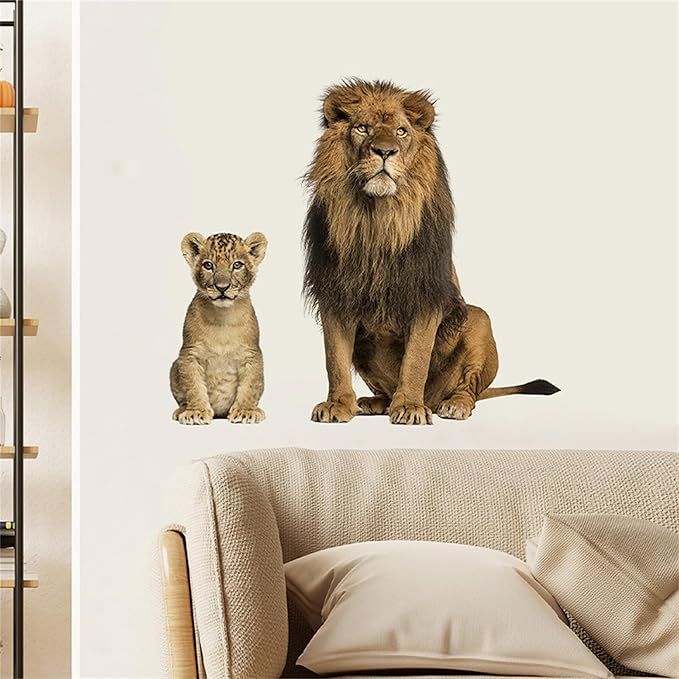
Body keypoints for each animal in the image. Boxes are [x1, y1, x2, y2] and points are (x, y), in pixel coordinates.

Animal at [170, 231, 267, 425]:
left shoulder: (252, 355)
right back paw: (182, 410)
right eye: (208, 265)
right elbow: (193, 387)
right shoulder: (189, 354)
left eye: (237, 265)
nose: (222, 287)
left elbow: (250, 386)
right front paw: (196, 411)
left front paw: (245, 411)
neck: (222, 318)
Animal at [303, 79, 558, 424]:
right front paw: (338, 404)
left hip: (479, 319)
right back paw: (375, 402)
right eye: (362, 128)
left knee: (469, 388)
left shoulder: (426, 294)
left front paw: (410, 406)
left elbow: (416, 358)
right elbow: (335, 360)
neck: (378, 219)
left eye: (401, 132)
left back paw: (452, 404)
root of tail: (435, 398)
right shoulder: (335, 294)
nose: (385, 151)